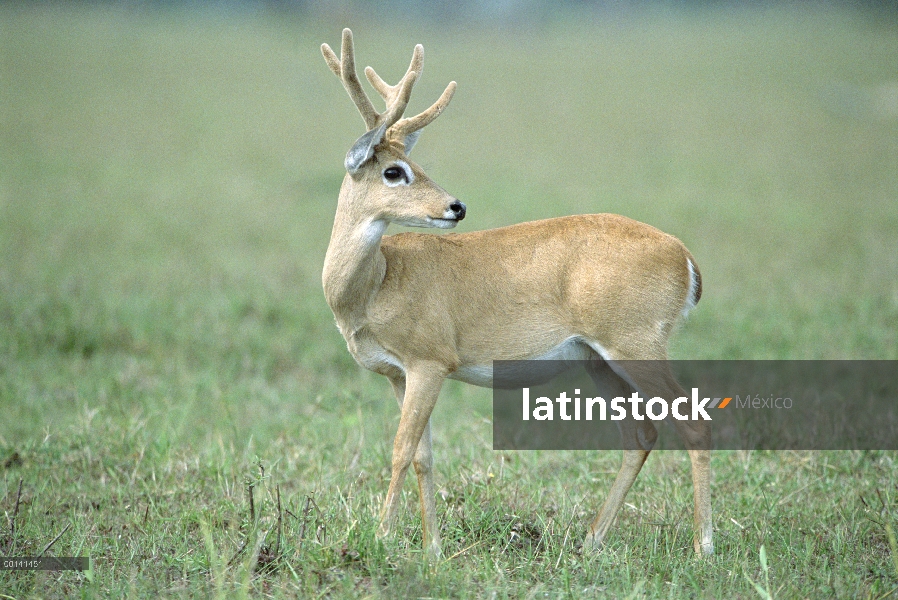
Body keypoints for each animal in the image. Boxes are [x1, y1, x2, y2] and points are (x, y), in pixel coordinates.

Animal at [318, 29, 712, 556]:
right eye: (395, 171)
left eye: (408, 163)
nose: (456, 206)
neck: (377, 283)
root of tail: (685, 258)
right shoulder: (397, 374)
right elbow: (423, 455)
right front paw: (433, 547)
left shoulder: (430, 360)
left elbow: (401, 450)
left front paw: (381, 538)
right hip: (598, 357)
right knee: (640, 432)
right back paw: (591, 541)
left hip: (637, 341)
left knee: (692, 421)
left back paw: (704, 547)